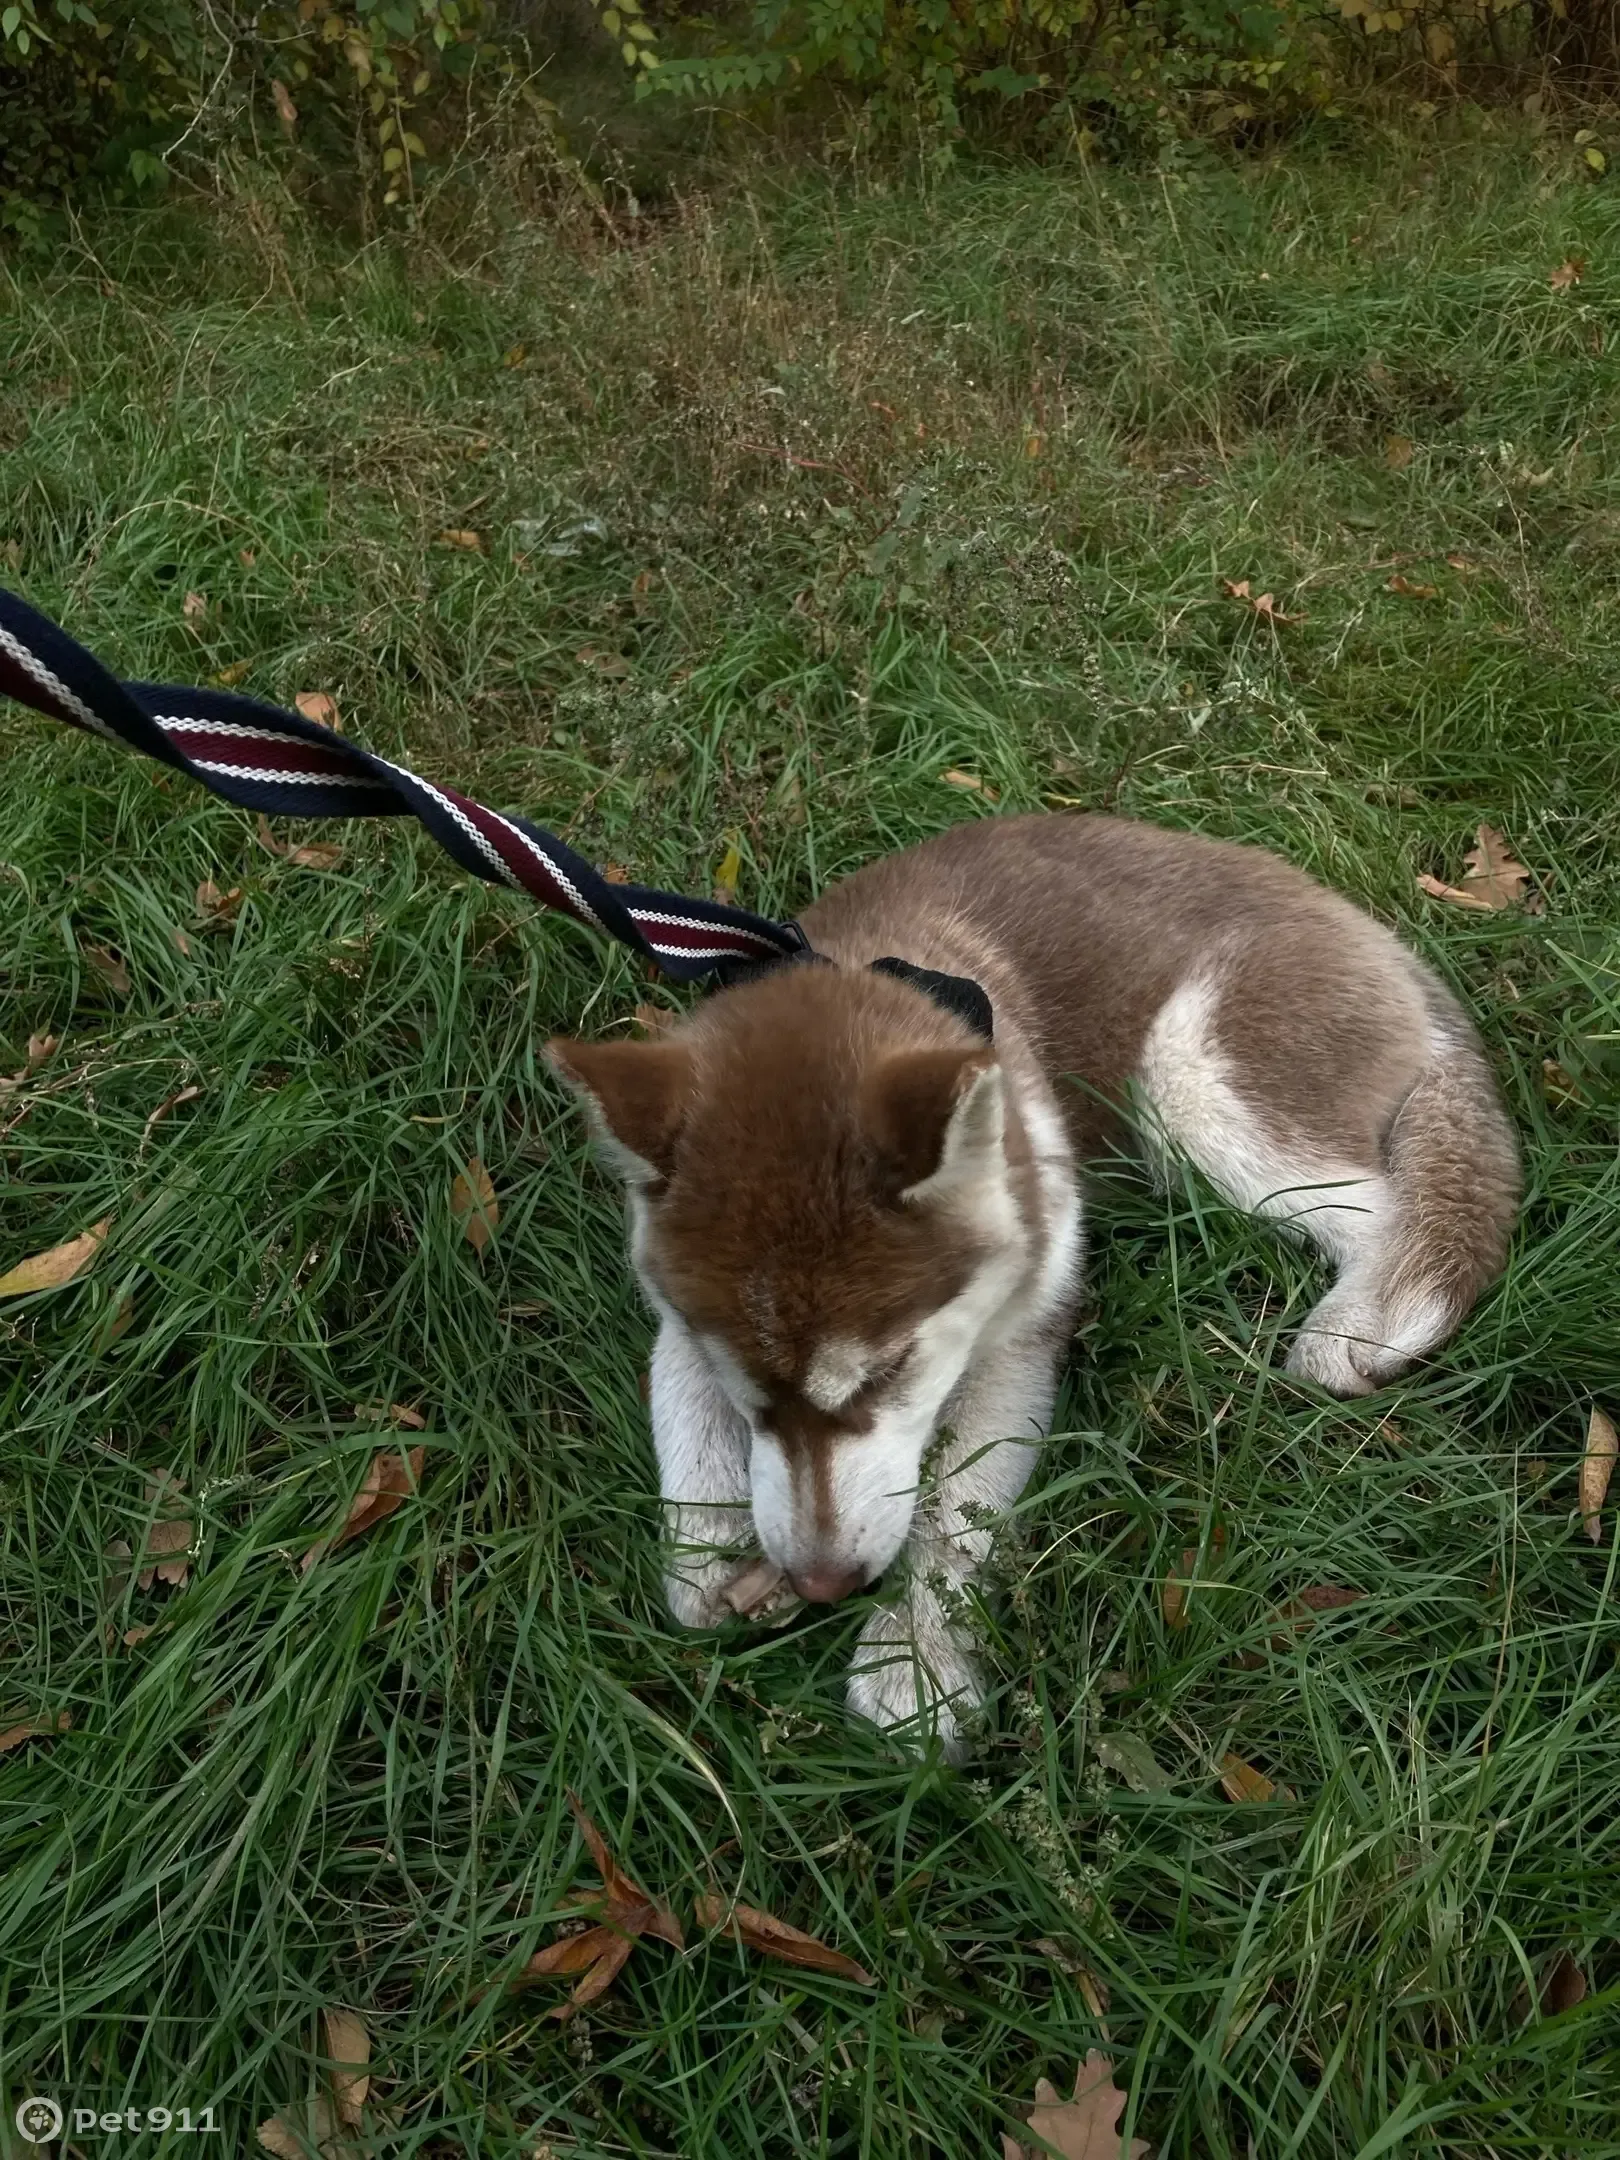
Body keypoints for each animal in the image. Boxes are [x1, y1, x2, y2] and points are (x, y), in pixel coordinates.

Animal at [552, 812, 1529, 1753]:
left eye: (890, 1371)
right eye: (745, 1392)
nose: (824, 1582)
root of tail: (1371, 931)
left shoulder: (1025, 1330)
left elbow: (956, 1511)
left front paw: (915, 1661)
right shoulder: (677, 1317)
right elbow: (685, 1414)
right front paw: (711, 1554)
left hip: (1189, 1080)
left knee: (1391, 1207)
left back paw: (1362, 1321)